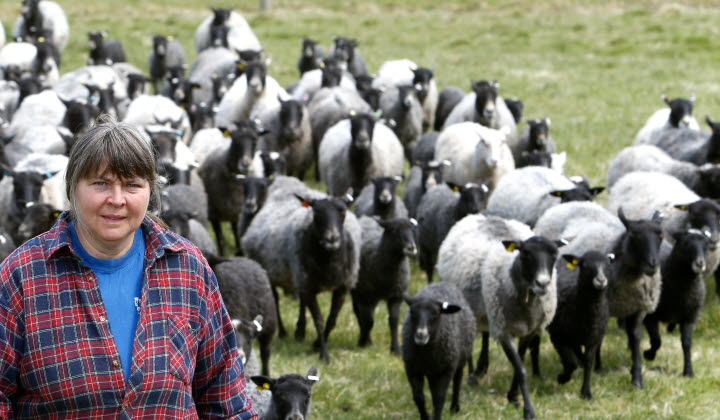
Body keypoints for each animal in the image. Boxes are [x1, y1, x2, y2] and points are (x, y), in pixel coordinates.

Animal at [352, 217, 420, 354]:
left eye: (413, 230)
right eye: (393, 230)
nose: (411, 248)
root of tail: (365, 218)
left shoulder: (396, 296)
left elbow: (393, 320)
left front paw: (395, 349)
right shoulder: (365, 297)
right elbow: (369, 322)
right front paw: (363, 342)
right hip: (358, 292)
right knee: (358, 314)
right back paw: (365, 338)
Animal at [402, 280, 476, 420]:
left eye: (435, 314)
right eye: (412, 313)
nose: (421, 335)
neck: (426, 354)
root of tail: (442, 282)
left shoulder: (446, 370)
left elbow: (439, 398)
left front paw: (436, 416)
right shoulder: (412, 369)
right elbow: (419, 398)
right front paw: (425, 417)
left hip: (460, 359)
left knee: (457, 381)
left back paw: (455, 407)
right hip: (433, 371)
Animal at [548, 251, 612, 398]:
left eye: (608, 265)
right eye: (586, 266)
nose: (601, 281)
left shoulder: (594, 339)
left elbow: (588, 361)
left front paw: (586, 392)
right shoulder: (558, 337)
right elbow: (572, 363)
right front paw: (562, 378)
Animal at [644, 230, 712, 378]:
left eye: (706, 245)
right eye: (685, 243)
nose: (700, 263)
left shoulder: (690, 317)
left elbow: (686, 343)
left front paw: (688, 371)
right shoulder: (650, 316)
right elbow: (656, 340)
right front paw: (649, 355)